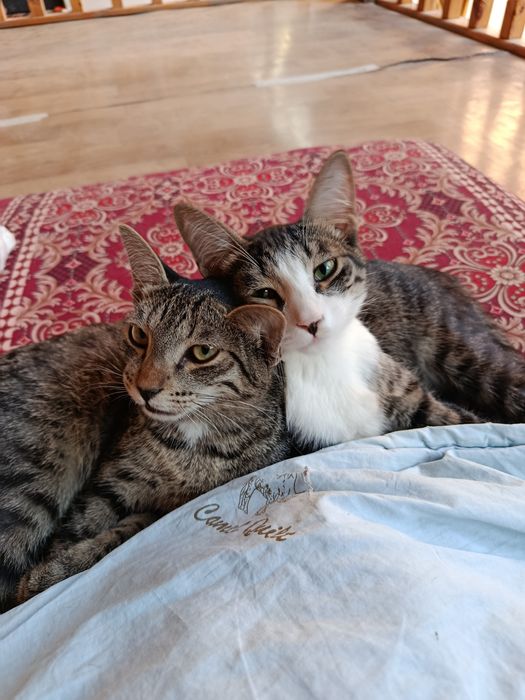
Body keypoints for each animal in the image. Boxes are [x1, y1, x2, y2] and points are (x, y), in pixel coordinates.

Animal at [0, 226, 291, 611]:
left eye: (202, 352)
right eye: (139, 335)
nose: (144, 388)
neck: (192, 443)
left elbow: (128, 531)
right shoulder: (108, 483)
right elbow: (81, 532)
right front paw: (53, 571)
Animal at [174, 210, 480, 452]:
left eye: (325, 270)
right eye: (264, 294)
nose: (311, 320)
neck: (325, 362)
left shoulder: (411, 396)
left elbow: (468, 425)